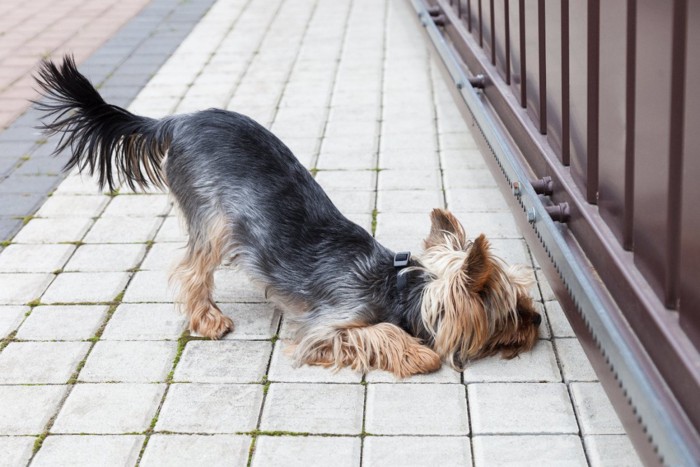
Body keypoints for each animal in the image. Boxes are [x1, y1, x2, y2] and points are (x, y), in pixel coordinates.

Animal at [34, 56, 540, 378]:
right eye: (513, 309)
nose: (537, 320)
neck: (399, 289)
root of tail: (177, 120)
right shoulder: (325, 329)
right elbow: (379, 336)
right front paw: (420, 355)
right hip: (214, 216)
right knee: (191, 269)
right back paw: (208, 320)